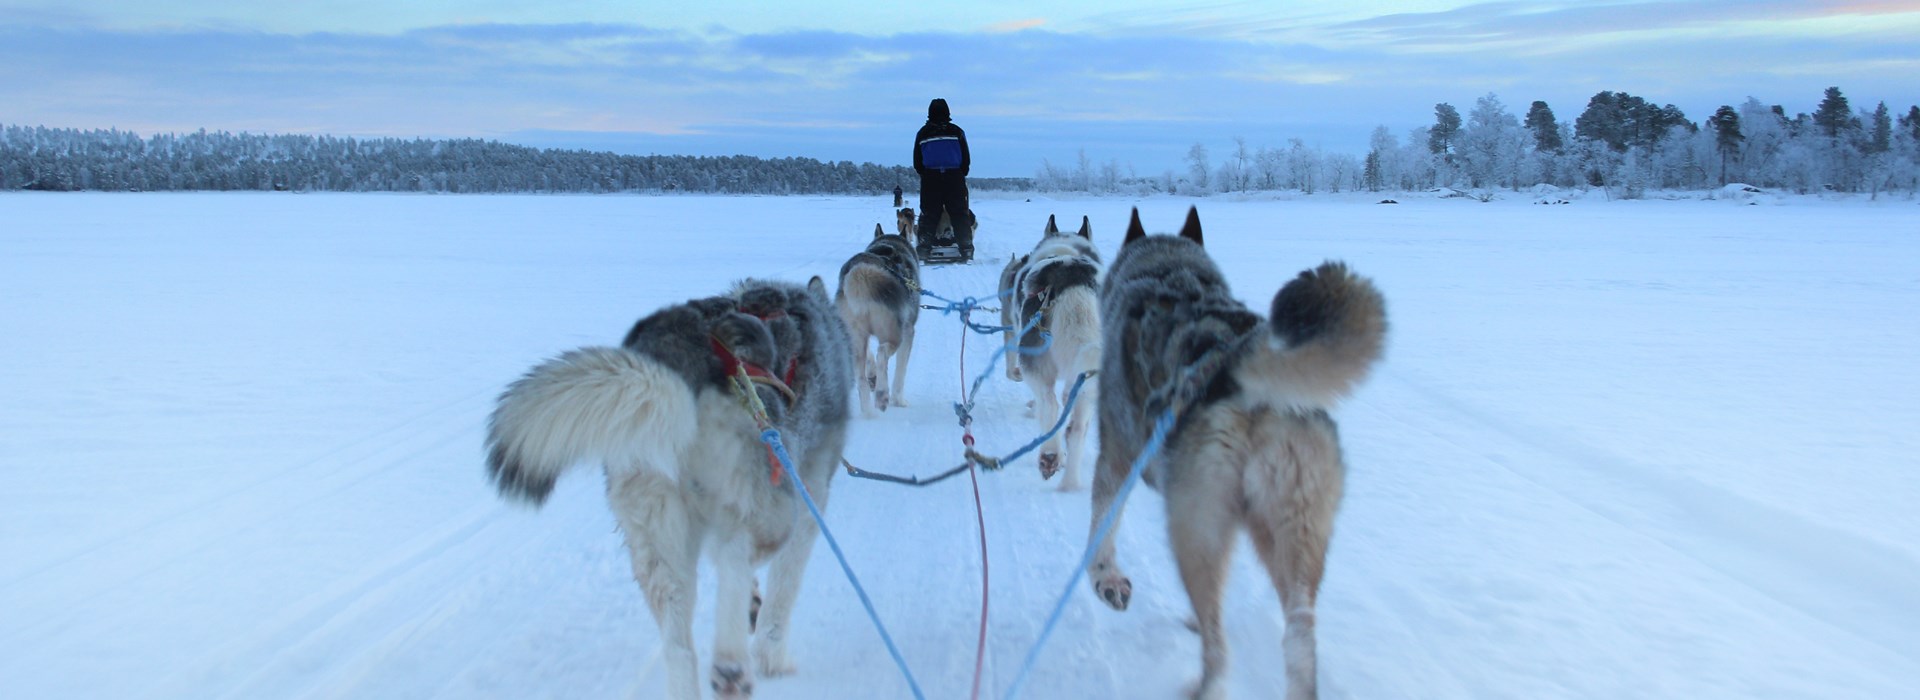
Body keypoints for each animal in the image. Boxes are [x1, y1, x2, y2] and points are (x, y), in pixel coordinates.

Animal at [487, 278, 856, 698]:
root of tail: (679, 360)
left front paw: (754, 605)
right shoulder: (809, 499)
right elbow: (781, 595)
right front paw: (772, 655)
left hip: (657, 535)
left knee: (678, 642)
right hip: (773, 507)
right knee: (734, 559)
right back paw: (731, 664)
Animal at [840, 223, 921, 414]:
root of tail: (861, 273)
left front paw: (872, 376)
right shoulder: (909, 332)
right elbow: (900, 372)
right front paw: (899, 400)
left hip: (853, 336)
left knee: (861, 378)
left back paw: (868, 411)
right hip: (894, 334)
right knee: (882, 354)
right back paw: (882, 395)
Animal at [998, 215, 1105, 489]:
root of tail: (1070, 280)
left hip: (1035, 363)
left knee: (1050, 404)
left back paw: (1050, 454)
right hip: (1088, 378)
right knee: (1076, 428)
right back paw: (1070, 483)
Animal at [1090, 209, 1390, 698]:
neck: (1169, 272)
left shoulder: (1116, 457)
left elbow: (1103, 527)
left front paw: (1105, 580)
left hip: (1194, 529)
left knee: (1219, 650)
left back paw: (1201, 685)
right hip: (1288, 535)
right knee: (1298, 636)